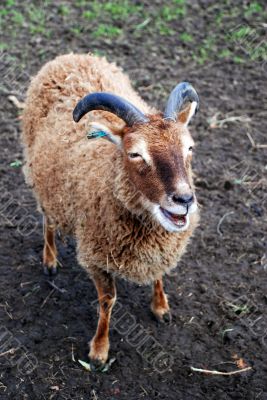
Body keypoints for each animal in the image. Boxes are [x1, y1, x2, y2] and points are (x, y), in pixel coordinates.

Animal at [21, 54, 201, 368]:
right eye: (135, 153)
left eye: (189, 148)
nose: (184, 199)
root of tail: (70, 56)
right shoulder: (95, 257)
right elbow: (107, 301)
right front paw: (99, 350)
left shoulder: (159, 250)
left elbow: (158, 274)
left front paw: (161, 307)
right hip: (40, 176)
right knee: (48, 219)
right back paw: (50, 259)